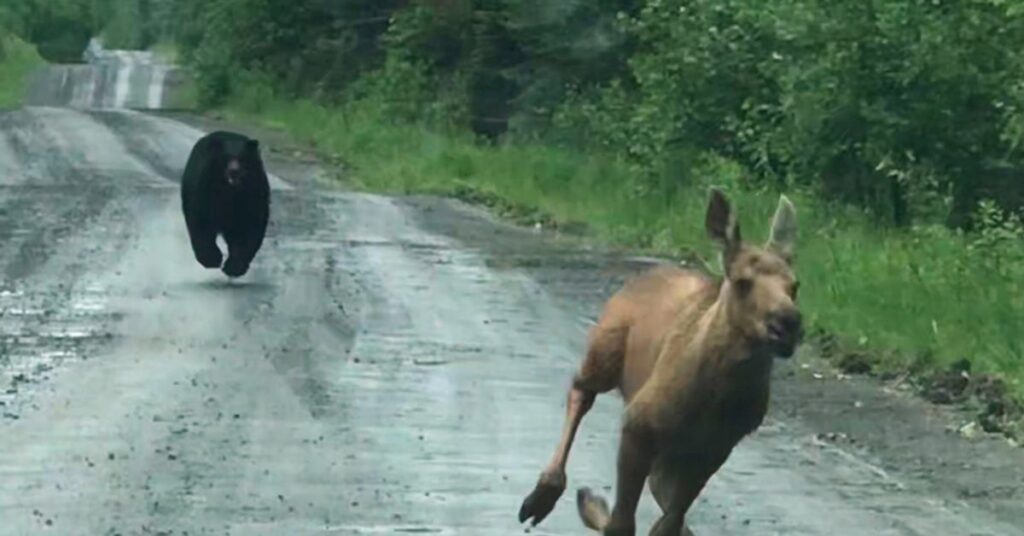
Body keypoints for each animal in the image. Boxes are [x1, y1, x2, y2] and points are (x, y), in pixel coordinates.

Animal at [181, 130, 270, 278]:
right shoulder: (205, 190)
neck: (230, 192)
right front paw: (211, 259)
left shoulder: (254, 194)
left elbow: (250, 227)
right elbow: (201, 222)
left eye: (242, 158)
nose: (234, 171)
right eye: (226, 157)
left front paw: (234, 267)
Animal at [517, 188, 802, 535]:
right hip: (605, 350)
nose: (787, 323)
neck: (717, 398)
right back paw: (544, 494)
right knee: (581, 389)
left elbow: (668, 522)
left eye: (795, 286)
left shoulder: (714, 450)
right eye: (742, 282)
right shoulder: (638, 424)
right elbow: (623, 523)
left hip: (670, 453)